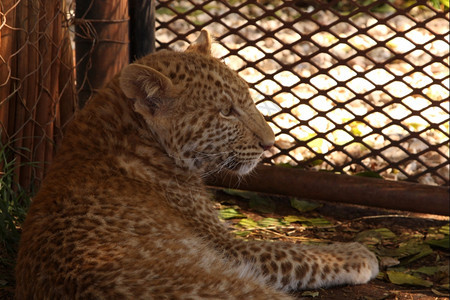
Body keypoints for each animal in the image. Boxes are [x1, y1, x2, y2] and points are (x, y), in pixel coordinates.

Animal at [14, 29, 380, 298]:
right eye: (227, 112)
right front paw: (356, 254)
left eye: (249, 100)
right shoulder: (228, 247)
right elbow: (293, 252)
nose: (269, 143)